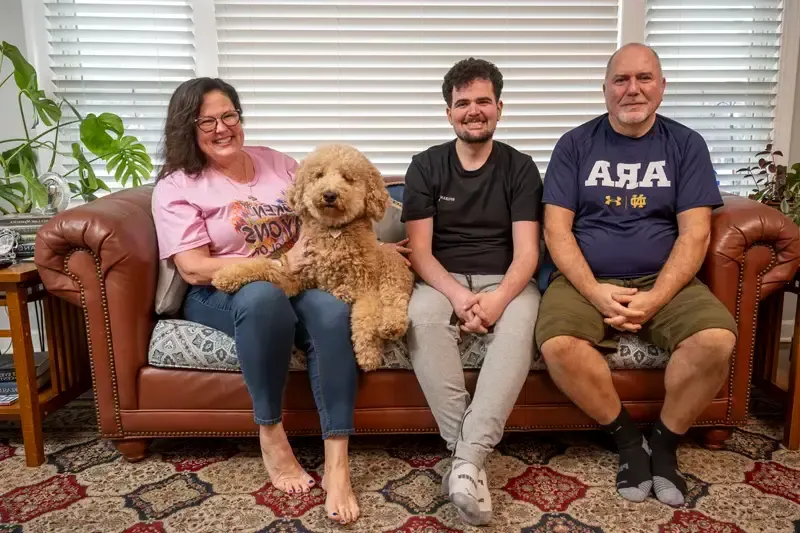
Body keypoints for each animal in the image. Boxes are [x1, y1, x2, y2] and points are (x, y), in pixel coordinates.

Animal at [211, 143, 412, 372]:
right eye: (319, 175)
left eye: (348, 178)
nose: (330, 194)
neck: (334, 232)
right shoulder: (294, 277)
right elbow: (265, 266)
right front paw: (227, 276)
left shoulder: (366, 289)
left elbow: (366, 319)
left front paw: (368, 354)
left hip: (390, 271)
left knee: (395, 300)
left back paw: (390, 325)